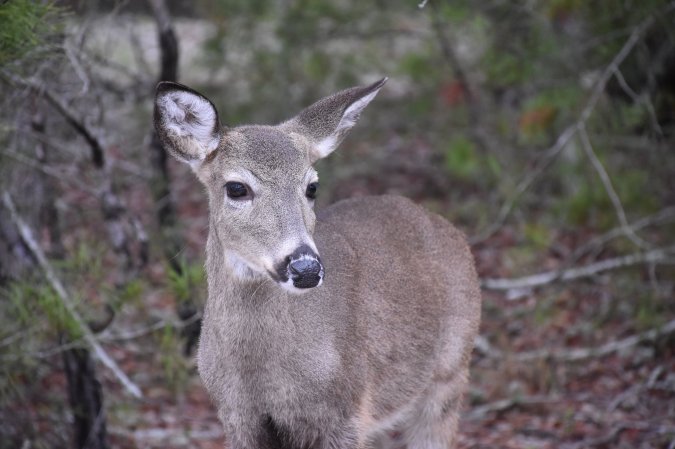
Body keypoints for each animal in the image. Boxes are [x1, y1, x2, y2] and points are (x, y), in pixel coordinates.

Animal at [153, 78, 480, 448]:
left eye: (312, 187)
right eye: (236, 188)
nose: (305, 268)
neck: (261, 375)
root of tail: (443, 224)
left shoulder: (346, 414)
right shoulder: (236, 417)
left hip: (450, 372)